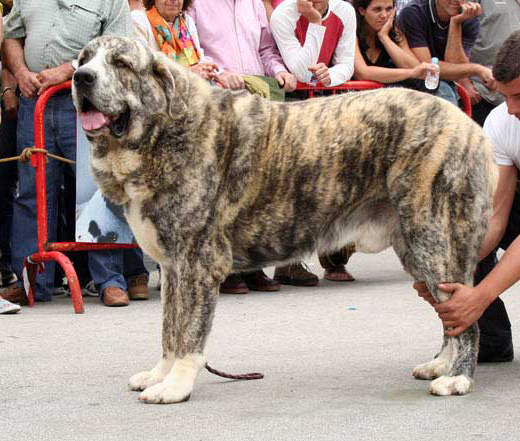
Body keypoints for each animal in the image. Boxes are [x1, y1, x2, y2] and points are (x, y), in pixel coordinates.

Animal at [71, 37, 498, 402]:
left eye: (121, 63)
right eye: (84, 59)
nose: (81, 78)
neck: (164, 130)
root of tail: (469, 126)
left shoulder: (197, 264)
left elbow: (189, 333)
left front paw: (175, 386)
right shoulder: (174, 268)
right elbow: (169, 331)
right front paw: (160, 374)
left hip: (431, 237)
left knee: (467, 314)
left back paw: (458, 378)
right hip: (416, 247)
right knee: (451, 314)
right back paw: (441, 365)